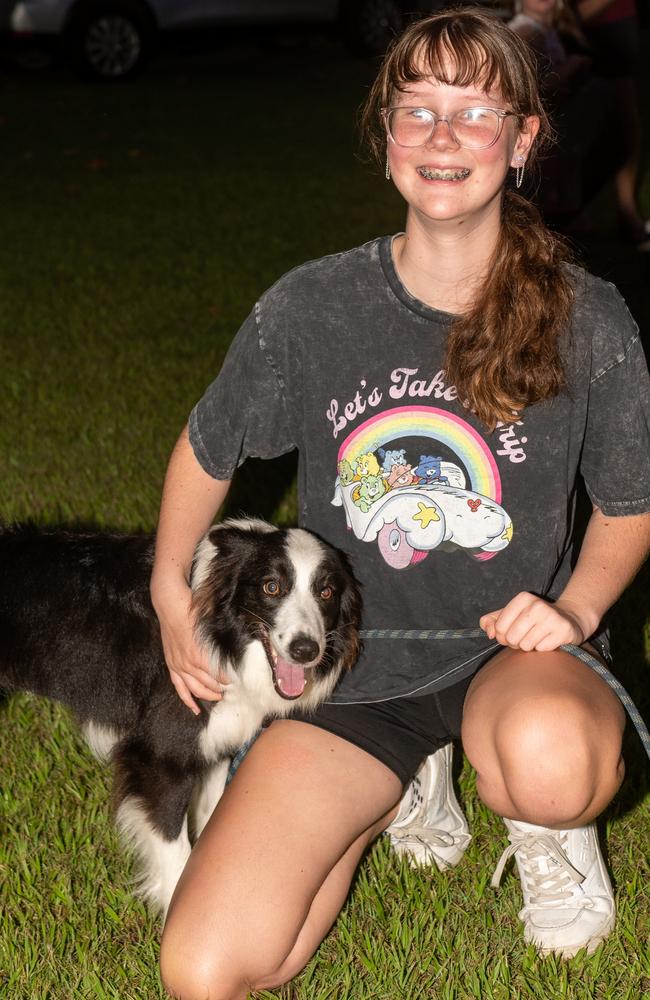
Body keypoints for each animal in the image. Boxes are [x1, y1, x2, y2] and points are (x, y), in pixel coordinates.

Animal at [0, 520, 360, 916]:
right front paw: (177, 914)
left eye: (326, 592)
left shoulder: (217, 745)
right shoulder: (160, 760)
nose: (306, 650)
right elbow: (175, 853)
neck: (219, 636)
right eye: (271, 587)